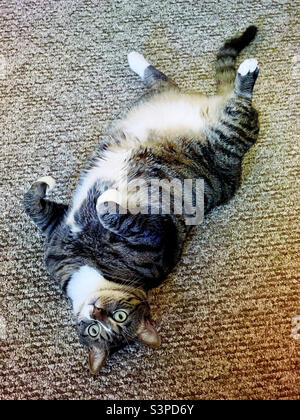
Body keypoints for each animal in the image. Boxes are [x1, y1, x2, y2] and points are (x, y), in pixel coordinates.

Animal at [24, 26, 260, 374]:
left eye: (119, 318)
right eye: (93, 330)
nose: (95, 312)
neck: (86, 270)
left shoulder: (158, 238)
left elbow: (114, 214)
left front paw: (106, 198)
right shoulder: (56, 227)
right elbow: (34, 204)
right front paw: (46, 185)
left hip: (227, 135)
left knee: (242, 107)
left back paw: (247, 72)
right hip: (167, 97)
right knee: (163, 79)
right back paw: (137, 59)